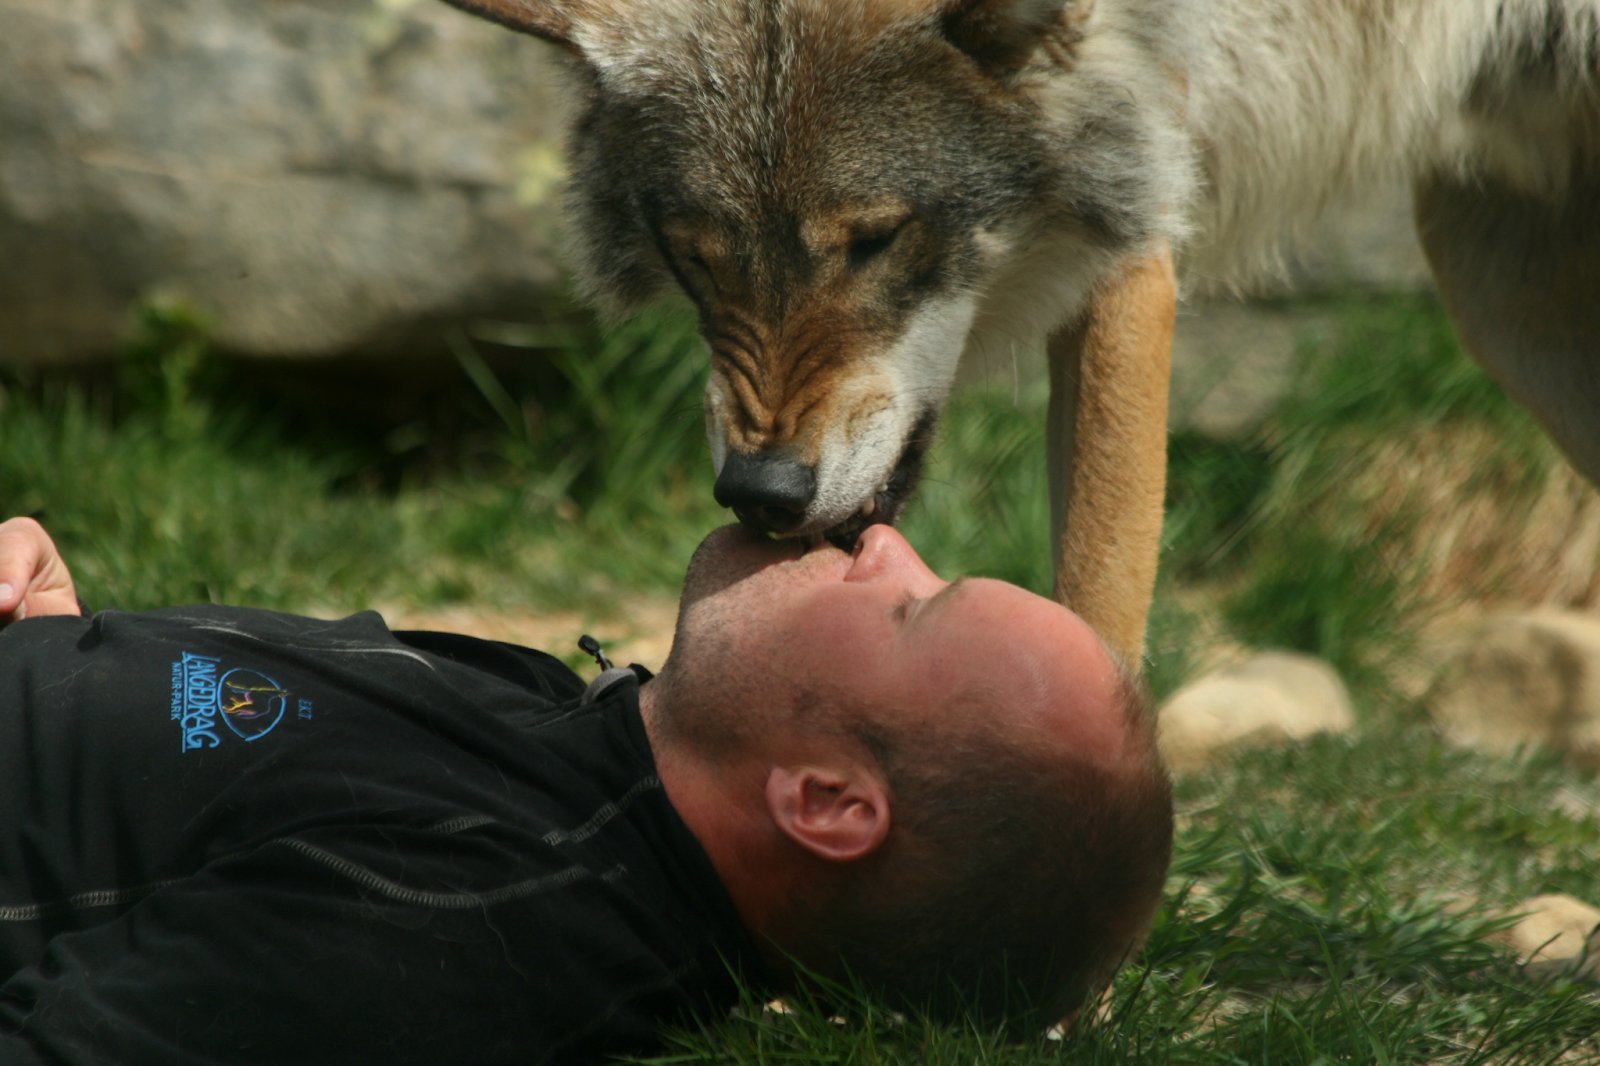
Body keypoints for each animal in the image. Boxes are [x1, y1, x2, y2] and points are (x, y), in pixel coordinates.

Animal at [438, 0, 1600, 659]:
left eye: (874, 240)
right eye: (696, 257)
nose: (759, 494)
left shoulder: (1136, 215)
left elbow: (1096, 587)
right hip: (1505, 300)